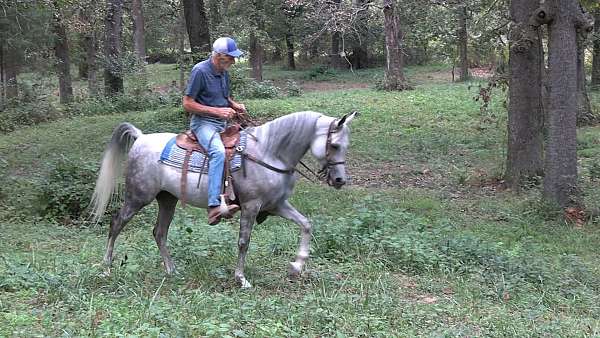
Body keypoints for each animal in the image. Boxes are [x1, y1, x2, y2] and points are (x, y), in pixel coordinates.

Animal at [90, 111, 356, 288]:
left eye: (346, 145)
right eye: (334, 145)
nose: (340, 180)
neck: (269, 153)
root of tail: (141, 137)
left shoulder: (277, 205)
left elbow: (306, 224)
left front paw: (296, 266)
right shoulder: (251, 206)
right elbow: (243, 242)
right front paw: (241, 278)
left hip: (167, 199)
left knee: (159, 232)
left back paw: (171, 270)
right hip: (137, 197)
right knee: (116, 223)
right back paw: (106, 266)